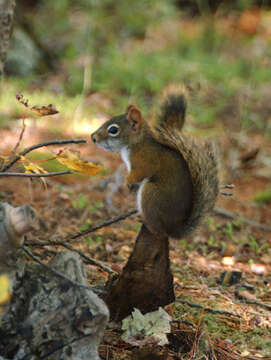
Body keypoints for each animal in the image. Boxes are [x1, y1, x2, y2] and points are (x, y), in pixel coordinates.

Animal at [92, 88, 220, 238]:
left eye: (113, 130)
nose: (93, 137)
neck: (137, 143)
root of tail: (173, 230)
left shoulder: (146, 161)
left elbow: (142, 172)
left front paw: (127, 181)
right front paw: (130, 185)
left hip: (151, 194)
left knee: (157, 229)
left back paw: (144, 220)